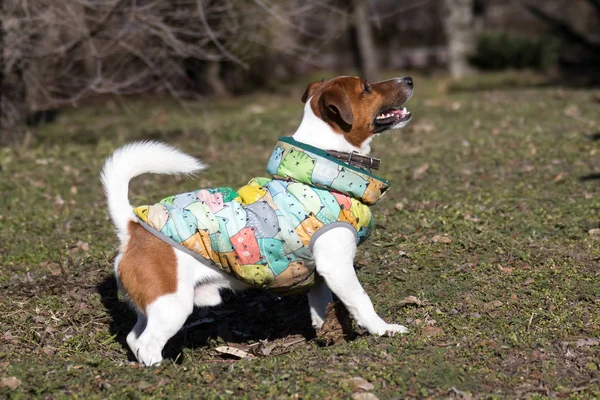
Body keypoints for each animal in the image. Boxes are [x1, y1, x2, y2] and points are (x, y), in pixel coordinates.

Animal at [102, 75, 412, 366]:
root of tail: (132, 227)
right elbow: (361, 301)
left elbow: (320, 306)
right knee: (147, 343)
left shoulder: (321, 275)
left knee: (133, 337)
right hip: (171, 306)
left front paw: (326, 333)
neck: (325, 168)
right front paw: (383, 329)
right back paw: (162, 368)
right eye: (366, 88)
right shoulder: (337, 266)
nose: (408, 79)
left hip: (153, 307)